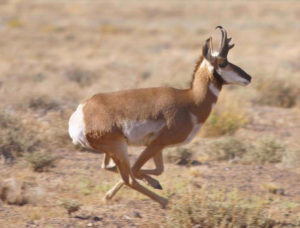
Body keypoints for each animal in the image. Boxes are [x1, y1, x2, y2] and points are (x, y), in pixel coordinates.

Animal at [68, 25, 251, 208]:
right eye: (223, 62)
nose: (248, 77)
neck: (191, 100)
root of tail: (82, 112)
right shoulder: (156, 144)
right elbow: (138, 169)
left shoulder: (158, 146)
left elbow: (158, 170)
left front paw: (150, 184)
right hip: (119, 147)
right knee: (129, 179)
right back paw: (165, 201)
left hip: (114, 150)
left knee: (108, 167)